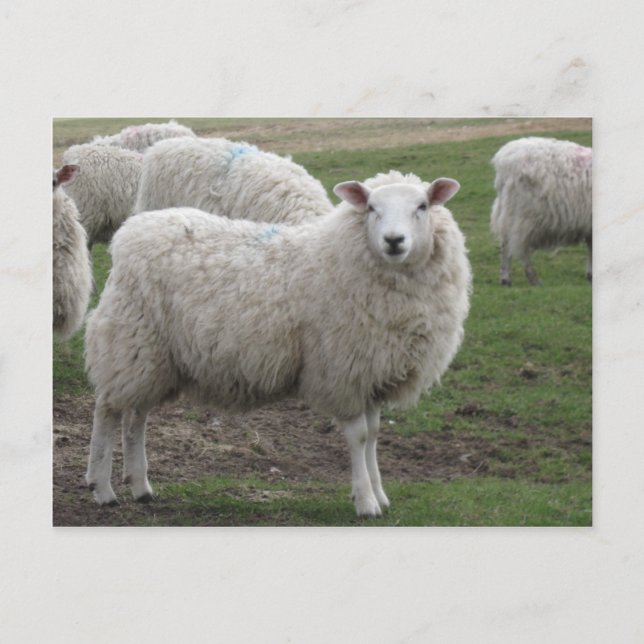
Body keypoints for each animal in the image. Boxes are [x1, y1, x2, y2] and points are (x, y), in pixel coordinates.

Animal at [85, 170, 471, 517]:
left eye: (422, 206)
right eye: (371, 207)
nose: (394, 240)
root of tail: (132, 231)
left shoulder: (373, 371)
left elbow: (375, 435)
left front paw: (379, 494)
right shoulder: (342, 370)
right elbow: (359, 437)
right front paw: (365, 502)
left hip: (154, 358)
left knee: (136, 417)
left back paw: (141, 487)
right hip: (129, 340)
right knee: (107, 410)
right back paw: (102, 489)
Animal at [490, 136, 592, 286]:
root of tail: (503, 160)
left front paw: (590, 274)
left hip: (508, 211)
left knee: (505, 243)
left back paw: (505, 279)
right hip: (525, 214)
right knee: (518, 247)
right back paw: (533, 278)